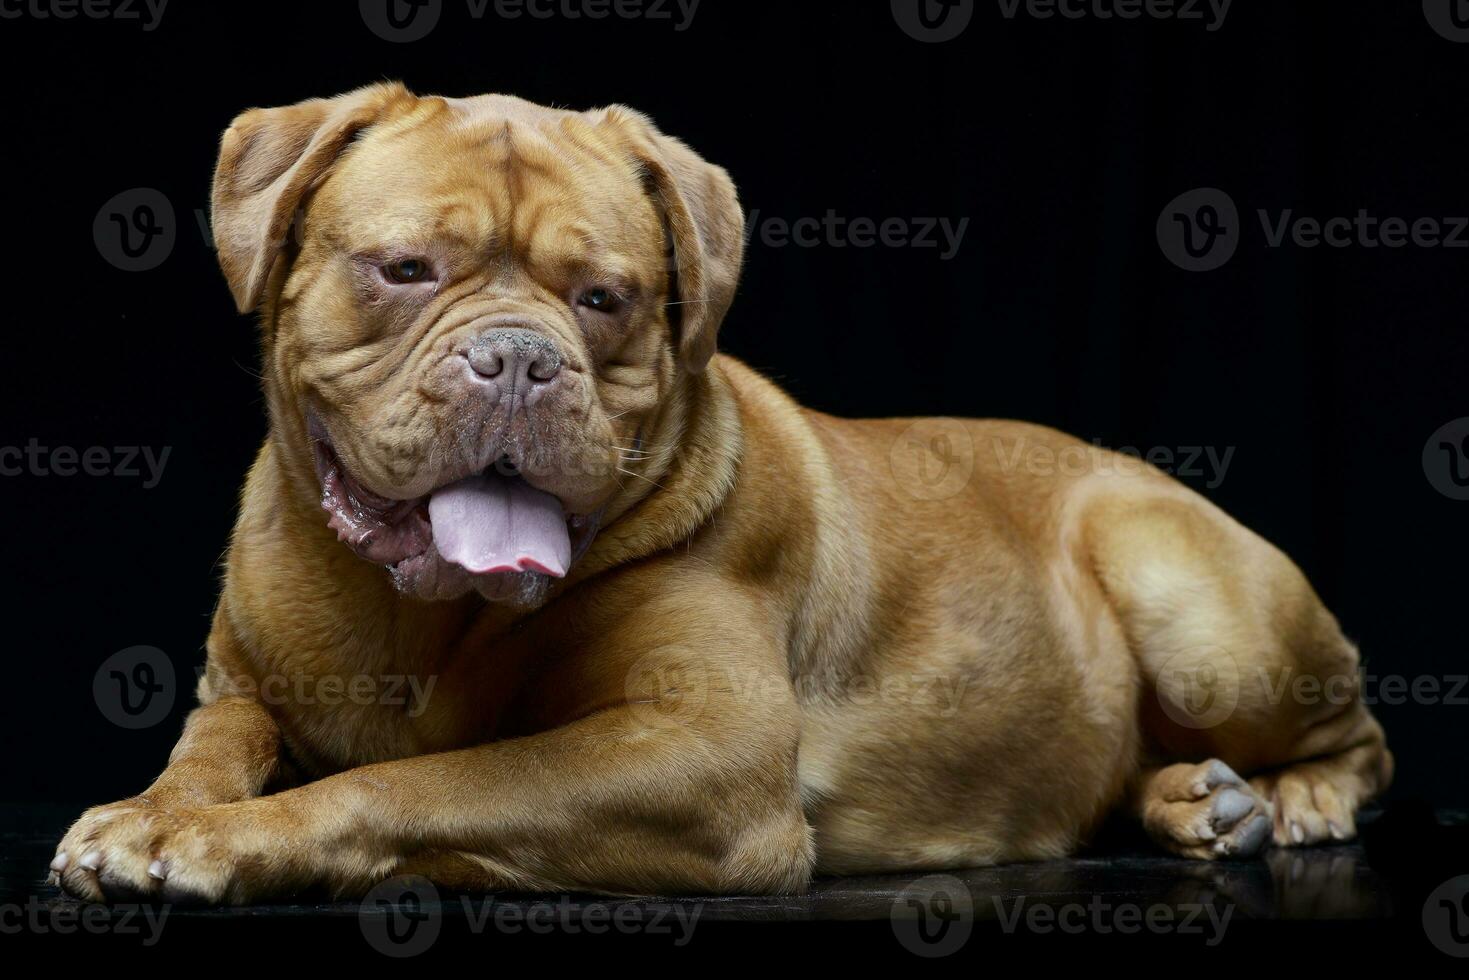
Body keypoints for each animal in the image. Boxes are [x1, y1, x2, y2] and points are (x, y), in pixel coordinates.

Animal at [48, 86, 1386, 905]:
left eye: (604, 298)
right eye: (405, 269)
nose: (517, 359)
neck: (418, 616)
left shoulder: (698, 748)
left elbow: (423, 780)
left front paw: (223, 838)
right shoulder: (240, 685)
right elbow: (217, 742)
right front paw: (159, 807)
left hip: (1202, 618)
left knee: (1352, 733)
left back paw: (1287, 795)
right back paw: (1187, 796)